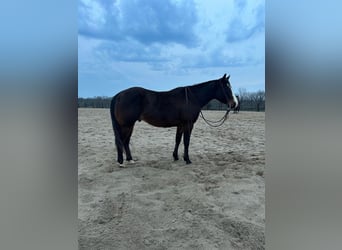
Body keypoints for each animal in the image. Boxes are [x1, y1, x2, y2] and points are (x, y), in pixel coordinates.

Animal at [109, 73, 238, 166]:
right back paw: (121, 162)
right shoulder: (188, 124)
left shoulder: (180, 125)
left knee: (125, 141)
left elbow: (178, 140)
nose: (234, 104)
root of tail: (119, 95)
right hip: (126, 125)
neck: (192, 98)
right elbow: (186, 141)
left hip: (129, 125)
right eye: (226, 87)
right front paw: (187, 159)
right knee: (121, 141)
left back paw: (129, 159)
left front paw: (176, 156)